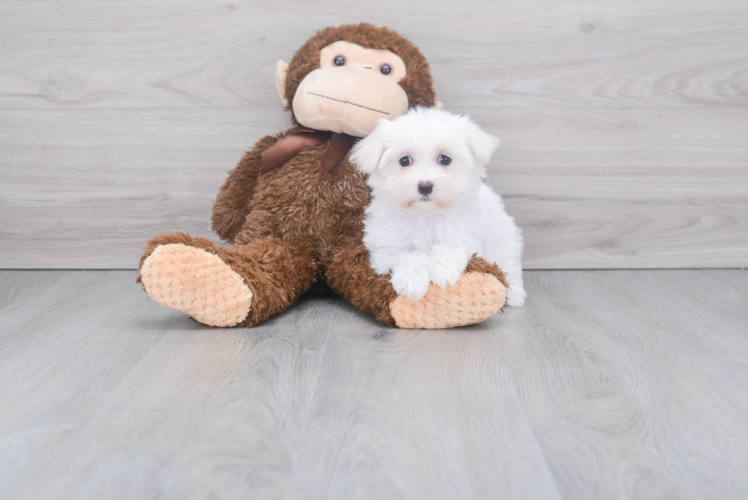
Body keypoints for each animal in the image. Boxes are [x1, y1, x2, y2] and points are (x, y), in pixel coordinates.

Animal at [350, 107, 524, 306]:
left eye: (445, 159)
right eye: (404, 160)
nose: (425, 186)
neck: (426, 214)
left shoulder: (464, 233)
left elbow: (450, 247)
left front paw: (443, 269)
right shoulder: (385, 247)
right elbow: (405, 255)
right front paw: (413, 279)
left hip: (503, 238)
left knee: (508, 263)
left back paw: (515, 294)